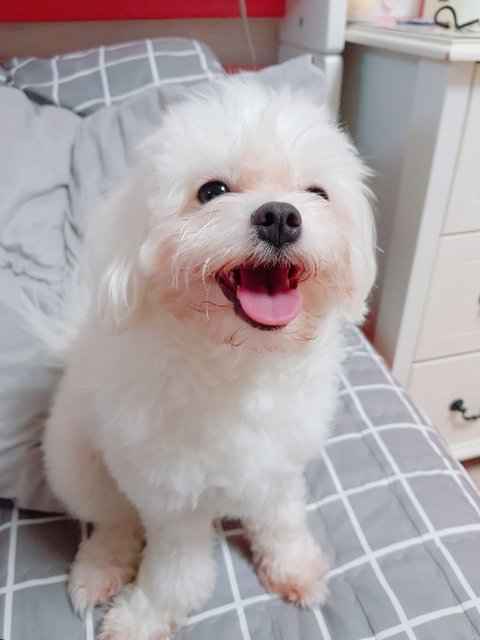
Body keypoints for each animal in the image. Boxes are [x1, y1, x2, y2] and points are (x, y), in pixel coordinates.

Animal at [43, 77, 376, 640]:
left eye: (317, 193)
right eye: (212, 191)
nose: (280, 215)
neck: (240, 365)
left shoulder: (279, 467)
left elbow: (282, 521)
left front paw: (294, 568)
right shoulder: (170, 498)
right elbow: (177, 572)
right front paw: (147, 614)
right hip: (74, 460)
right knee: (113, 519)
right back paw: (101, 568)